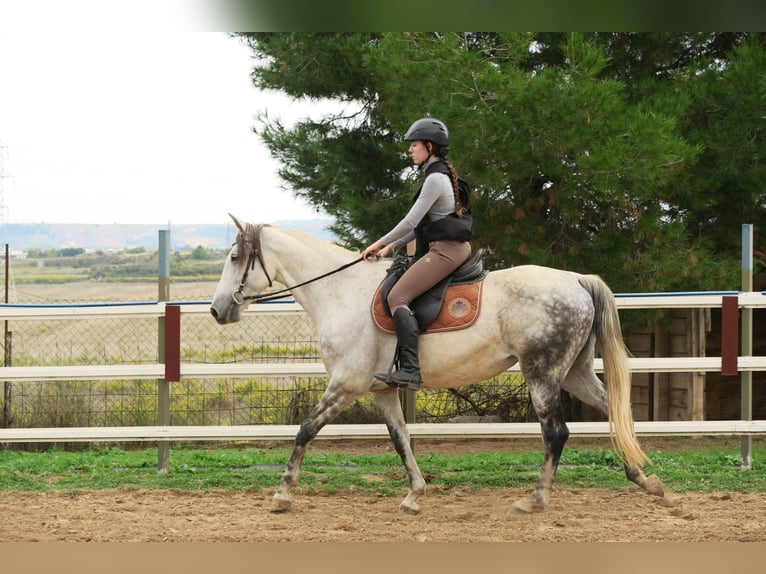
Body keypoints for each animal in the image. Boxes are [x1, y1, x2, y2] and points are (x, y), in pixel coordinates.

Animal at [212, 216, 664, 516]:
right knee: (616, 414)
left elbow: (306, 429)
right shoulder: (383, 390)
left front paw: (282, 494)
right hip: (575, 373)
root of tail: (574, 279)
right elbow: (401, 440)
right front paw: (414, 494)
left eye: (234, 257)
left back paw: (534, 498)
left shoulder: (346, 384)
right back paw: (647, 480)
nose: (217, 310)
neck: (340, 291)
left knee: (556, 433)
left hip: (543, 374)